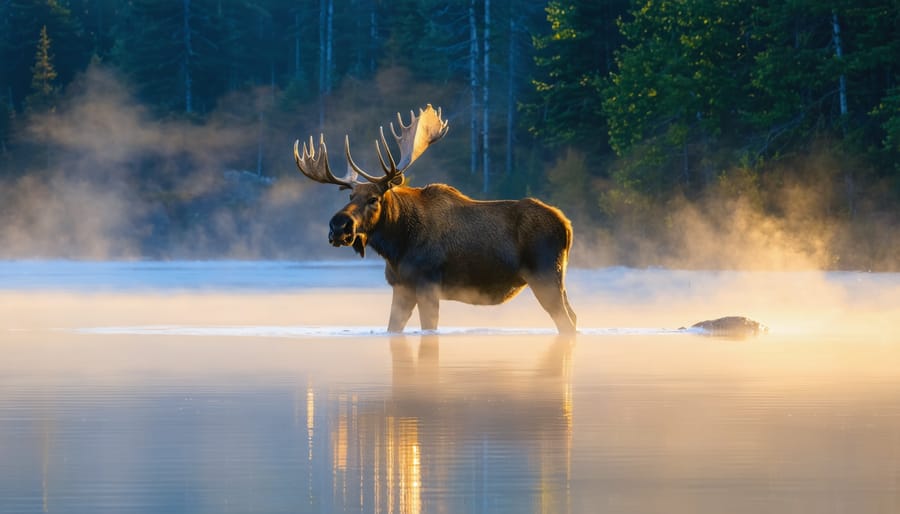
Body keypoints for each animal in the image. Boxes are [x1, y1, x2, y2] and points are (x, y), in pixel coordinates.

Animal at [293, 105, 576, 334]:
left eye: (374, 198)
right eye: (351, 194)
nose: (338, 226)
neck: (397, 247)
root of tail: (567, 225)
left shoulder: (428, 283)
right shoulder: (401, 286)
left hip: (545, 275)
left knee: (566, 321)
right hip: (557, 279)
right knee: (573, 317)